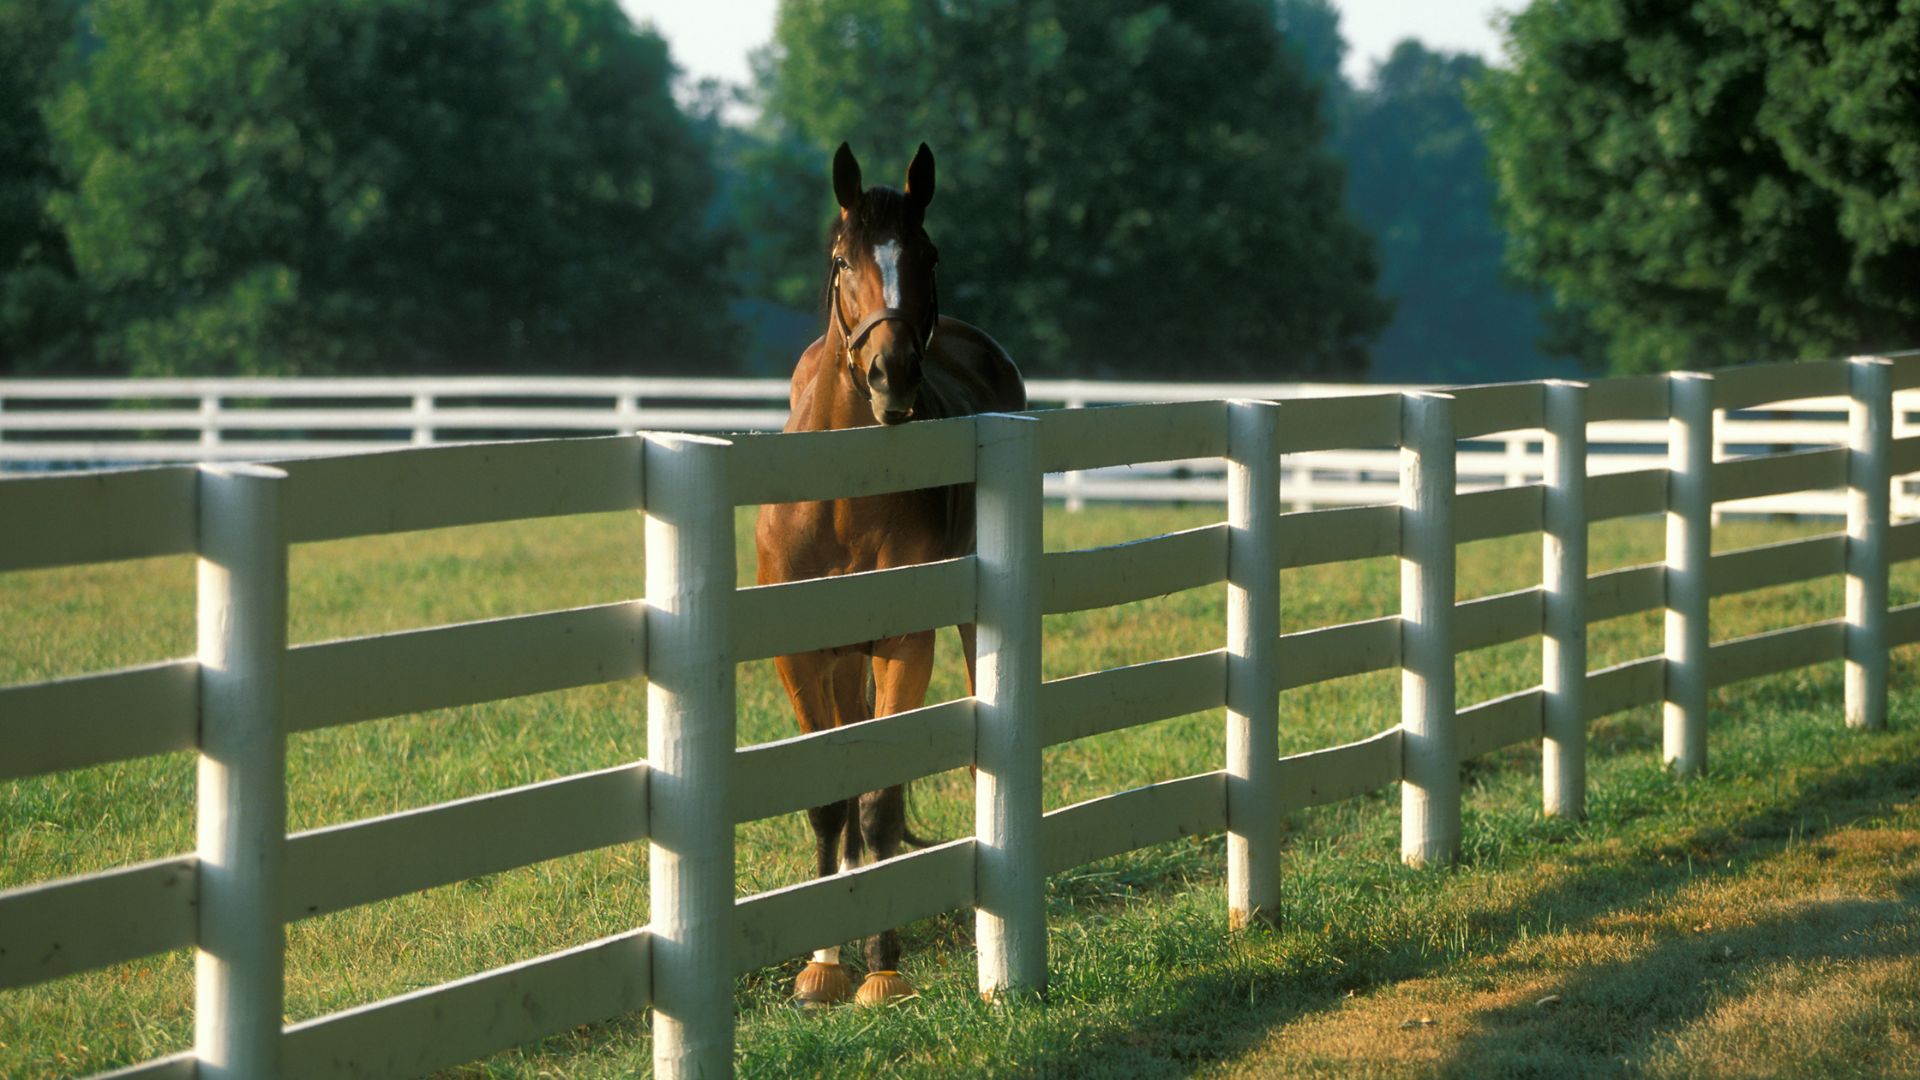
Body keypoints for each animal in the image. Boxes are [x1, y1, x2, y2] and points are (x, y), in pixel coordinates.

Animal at [748, 141, 1029, 999]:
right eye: (844, 260)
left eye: (926, 255)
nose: (891, 374)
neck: (842, 494)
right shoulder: (800, 656)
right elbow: (831, 802)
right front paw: (821, 966)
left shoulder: (906, 645)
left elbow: (878, 802)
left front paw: (882, 968)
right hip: (843, 664)